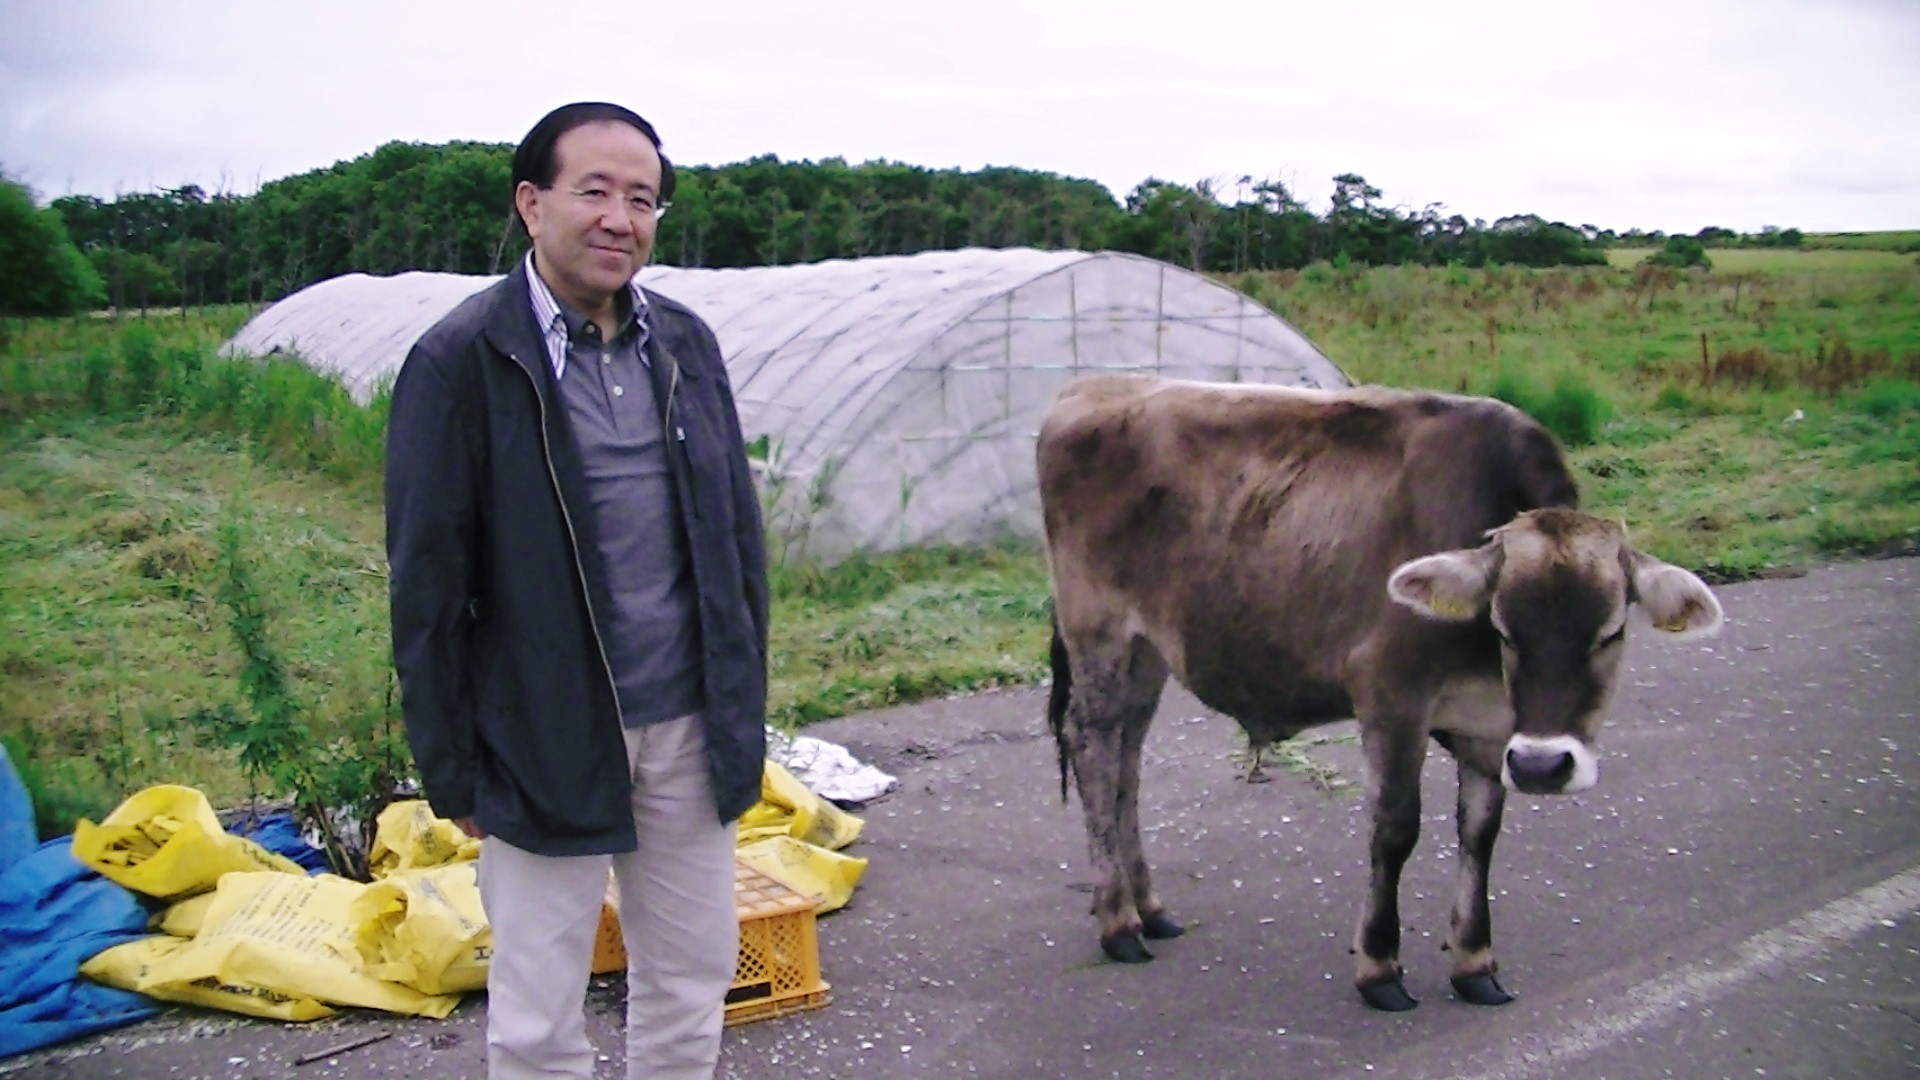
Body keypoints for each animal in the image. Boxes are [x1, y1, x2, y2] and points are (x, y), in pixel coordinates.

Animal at [1036, 372, 1728, 1006]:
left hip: (1147, 649)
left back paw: (1148, 906)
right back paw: (1118, 921)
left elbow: (1480, 833)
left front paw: (1474, 960)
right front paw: (1379, 965)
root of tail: (1092, 386)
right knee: (1094, 749)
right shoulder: (1390, 698)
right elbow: (1395, 831)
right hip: (1098, 631)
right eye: (1505, 627)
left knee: (1126, 760)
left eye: (1611, 632)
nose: (1542, 766)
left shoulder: (1490, 726)